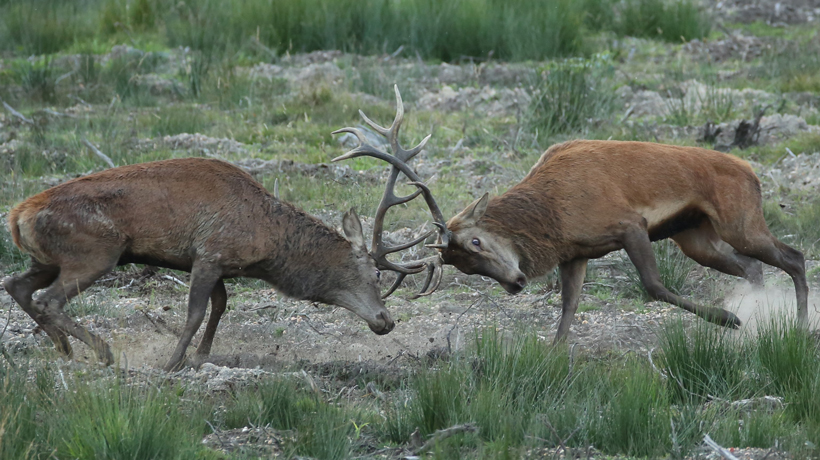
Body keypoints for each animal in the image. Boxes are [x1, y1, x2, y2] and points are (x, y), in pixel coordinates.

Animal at [1, 156, 442, 372]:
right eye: (376, 273)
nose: (386, 320)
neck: (268, 241)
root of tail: (17, 216)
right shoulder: (211, 253)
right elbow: (196, 312)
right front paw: (172, 362)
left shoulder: (216, 262)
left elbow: (219, 306)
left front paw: (200, 356)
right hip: (96, 252)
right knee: (49, 299)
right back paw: (102, 352)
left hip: (49, 258)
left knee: (17, 285)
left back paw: (63, 349)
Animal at [334, 86, 808, 344]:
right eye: (465, 267)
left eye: (476, 240)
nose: (516, 283)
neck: (553, 220)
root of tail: (751, 171)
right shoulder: (576, 253)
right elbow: (567, 310)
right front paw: (554, 354)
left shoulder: (629, 224)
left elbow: (653, 287)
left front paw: (729, 319)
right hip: (695, 237)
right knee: (751, 266)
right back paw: (764, 315)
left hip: (739, 218)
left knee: (794, 256)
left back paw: (794, 324)